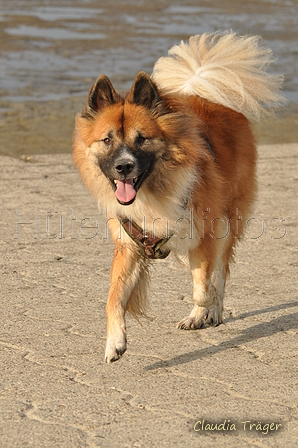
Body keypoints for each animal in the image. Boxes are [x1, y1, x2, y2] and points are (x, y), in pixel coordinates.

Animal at [73, 31, 284, 360]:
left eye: (141, 139)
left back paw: (211, 312)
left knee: (220, 271)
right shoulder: (129, 245)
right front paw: (114, 342)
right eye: (107, 140)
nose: (123, 166)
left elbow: (203, 286)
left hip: (228, 221)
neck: (152, 192)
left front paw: (203, 311)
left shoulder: (205, 234)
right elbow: (114, 298)